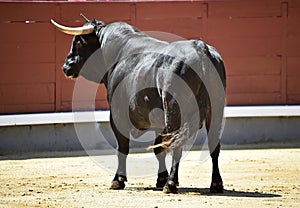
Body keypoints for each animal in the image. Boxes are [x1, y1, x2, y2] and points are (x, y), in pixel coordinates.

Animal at [51, 17, 225, 194]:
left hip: (174, 109)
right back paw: (215, 184)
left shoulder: (117, 115)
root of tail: (200, 47)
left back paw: (171, 184)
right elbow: (158, 149)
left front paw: (118, 180)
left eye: (79, 42)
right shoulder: (157, 121)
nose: (66, 66)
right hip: (216, 109)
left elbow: (122, 147)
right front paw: (160, 179)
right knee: (213, 145)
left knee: (177, 145)